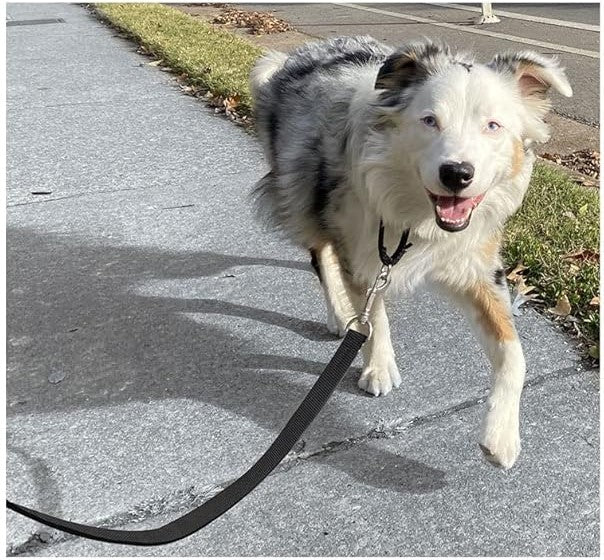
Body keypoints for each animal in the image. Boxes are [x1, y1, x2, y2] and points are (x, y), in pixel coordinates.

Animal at [249, 37, 572, 470]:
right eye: (429, 120)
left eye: (492, 126)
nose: (457, 173)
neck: (419, 214)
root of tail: (299, 53)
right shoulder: (364, 251)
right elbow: (374, 314)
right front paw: (379, 367)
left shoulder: (478, 267)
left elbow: (513, 353)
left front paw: (502, 436)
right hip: (303, 191)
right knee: (321, 257)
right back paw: (339, 314)